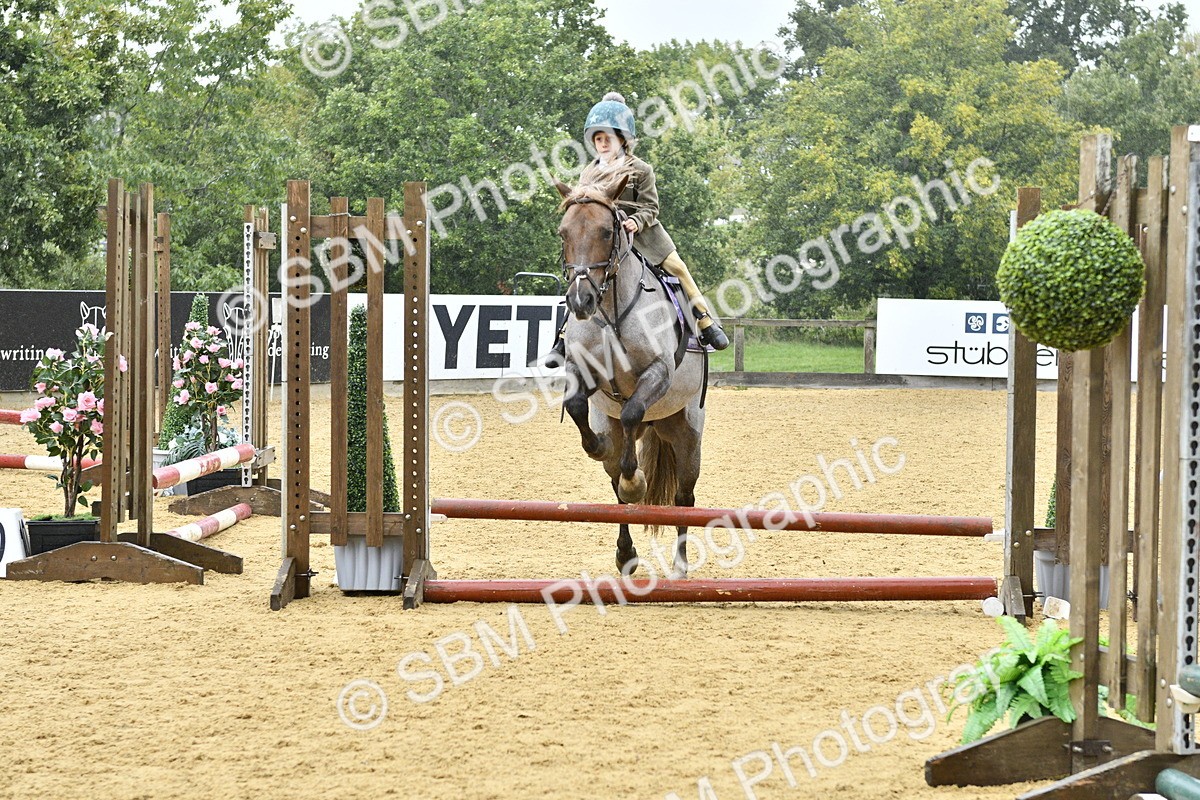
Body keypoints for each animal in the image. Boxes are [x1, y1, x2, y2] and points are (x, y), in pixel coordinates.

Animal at [553, 171, 707, 579]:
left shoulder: (657, 373)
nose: (580, 301)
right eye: (563, 232)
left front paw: (636, 481)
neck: (611, 311)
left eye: (607, 231)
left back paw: (680, 565)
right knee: (616, 492)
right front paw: (599, 447)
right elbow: (578, 407)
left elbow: (632, 411)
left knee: (684, 497)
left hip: (688, 436)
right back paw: (626, 555)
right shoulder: (579, 370)